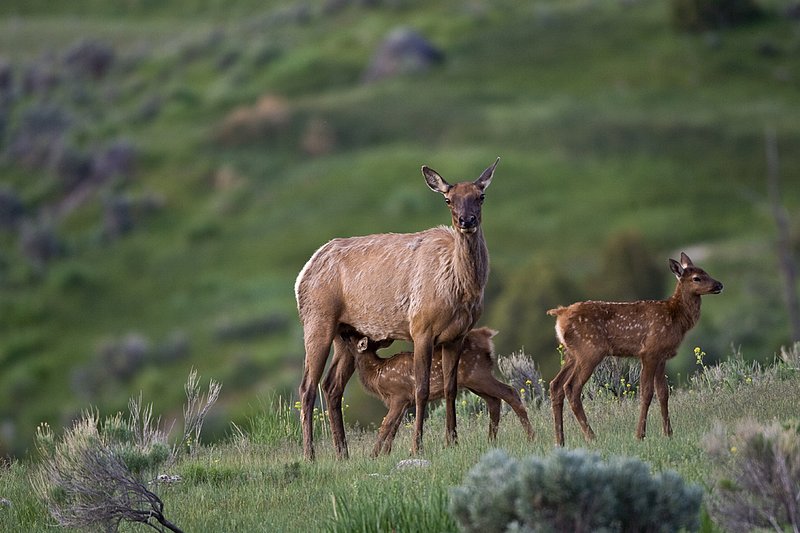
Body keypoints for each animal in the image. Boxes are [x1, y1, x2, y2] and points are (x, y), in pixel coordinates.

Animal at [295, 158, 499, 460]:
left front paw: (452, 441)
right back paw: (310, 455)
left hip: (346, 333)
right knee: (307, 387)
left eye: (481, 196)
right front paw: (418, 446)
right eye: (448, 200)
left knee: (332, 386)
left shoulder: (456, 335)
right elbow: (421, 389)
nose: (466, 221)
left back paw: (343, 453)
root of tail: (302, 274)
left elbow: (451, 388)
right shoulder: (421, 328)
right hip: (317, 319)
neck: (459, 287)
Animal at [343, 327, 535, 457]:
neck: (377, 374)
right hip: (475, 380)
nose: (344, 332)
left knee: (510, 392)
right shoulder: (405, 402)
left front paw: (373, 456)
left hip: (477, 373)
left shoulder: (399, 395)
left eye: (352, 338)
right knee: (494, 400)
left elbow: (386, 425)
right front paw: (385, 454)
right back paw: (491, 441)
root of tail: (486, 335)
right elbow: (395, 427)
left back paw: (530, 437)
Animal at [547, 252, 723, 447]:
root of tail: (560, 314)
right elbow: (646, 392)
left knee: (555, 385)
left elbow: (663, 393)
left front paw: (668, 433)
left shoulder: (662, 356)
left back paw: (560, 441)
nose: (719, 285)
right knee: (571, 387)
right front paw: (640, 435)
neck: (676, 318)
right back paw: (591, 437)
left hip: (571, 354)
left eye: (706, 272)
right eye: (697, 278)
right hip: (590, 351)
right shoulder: (649, 351)